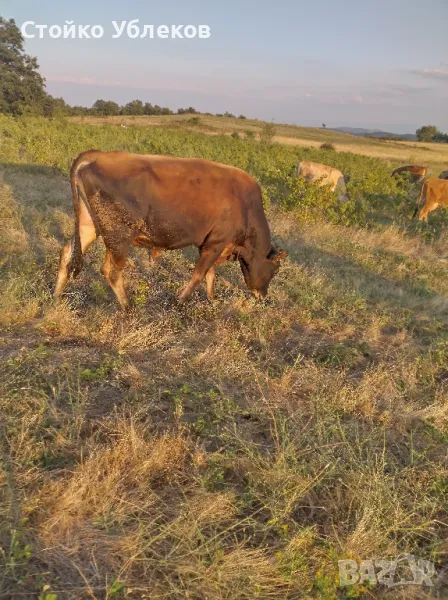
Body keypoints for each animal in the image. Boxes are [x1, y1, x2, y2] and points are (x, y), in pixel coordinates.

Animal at [55, 150, 288, 310]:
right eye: (275, 270)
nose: (263, 296)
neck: (246, 206)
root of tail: (98, 155)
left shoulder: (212, 244)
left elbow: (210, 274)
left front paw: (212, 299)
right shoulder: (216, 243)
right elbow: (199, 274)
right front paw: (181, 301)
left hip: (90, 225)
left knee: (68, 253)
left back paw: (56, 295)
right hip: (118, 236)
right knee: (111, 272)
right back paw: (128, 307)